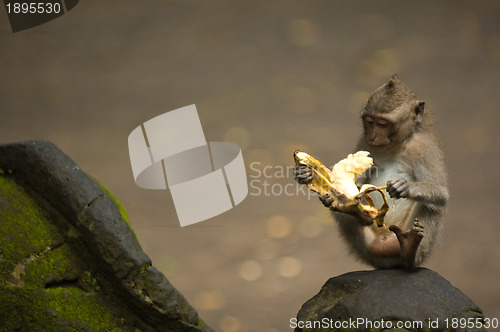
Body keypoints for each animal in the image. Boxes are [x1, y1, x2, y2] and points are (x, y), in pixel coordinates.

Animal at [294, 74, 448, 268]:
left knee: (430, 206)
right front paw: (306, 174)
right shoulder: (364, 141)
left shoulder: (424, 148)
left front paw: (404, 187)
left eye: (382, 124)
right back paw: (352, 210)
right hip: (364, 246)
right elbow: (358, 182)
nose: (373, 136)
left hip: (416, 246)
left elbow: (441, 193)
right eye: (369, 121)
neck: (394, 146)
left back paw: (409, 248)